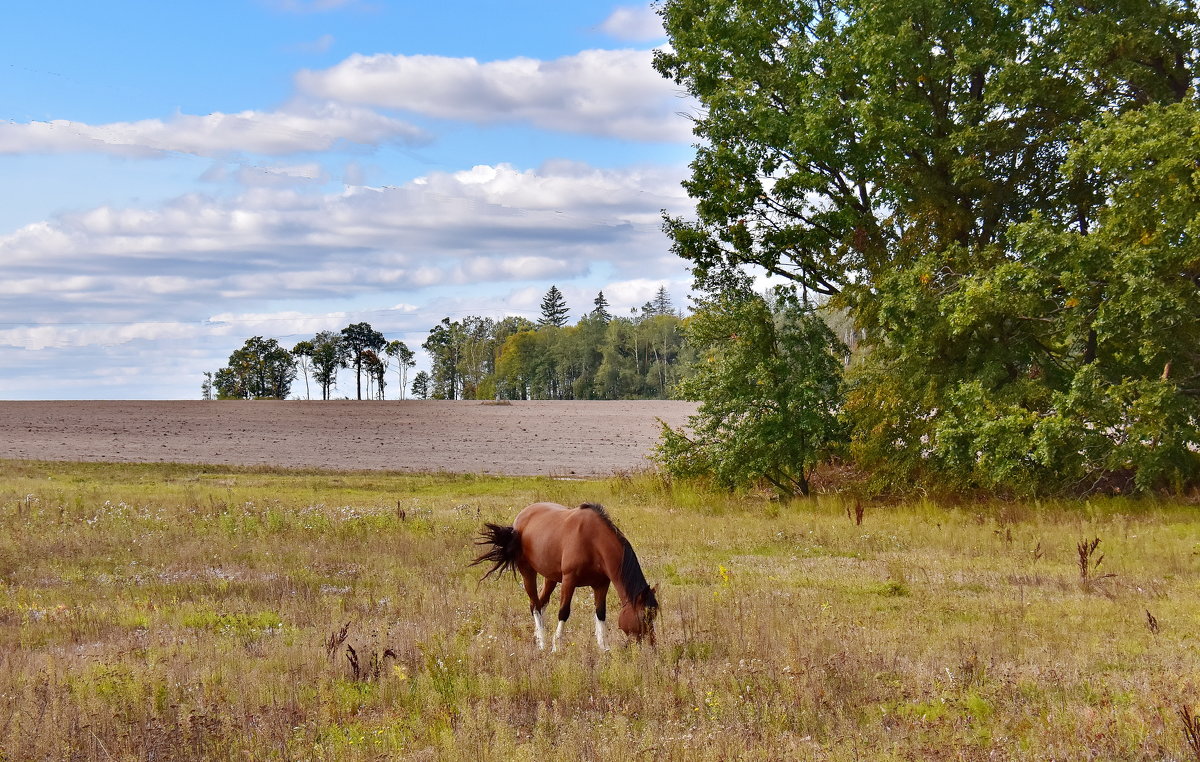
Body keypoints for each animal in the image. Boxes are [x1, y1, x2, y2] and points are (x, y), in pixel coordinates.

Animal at [470, 504, 657, 652]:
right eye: (644, 617)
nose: (652, 646)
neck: (593, 542)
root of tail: (520, 518)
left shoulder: (601, 584)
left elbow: (600, 613)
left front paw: (604, 647)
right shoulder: (569, 581)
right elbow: (564, 612)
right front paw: (556, 647)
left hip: (550, 577)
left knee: (540, 603)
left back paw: (538, 636)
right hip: (528, 572)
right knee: (535, 605)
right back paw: (542, 643)